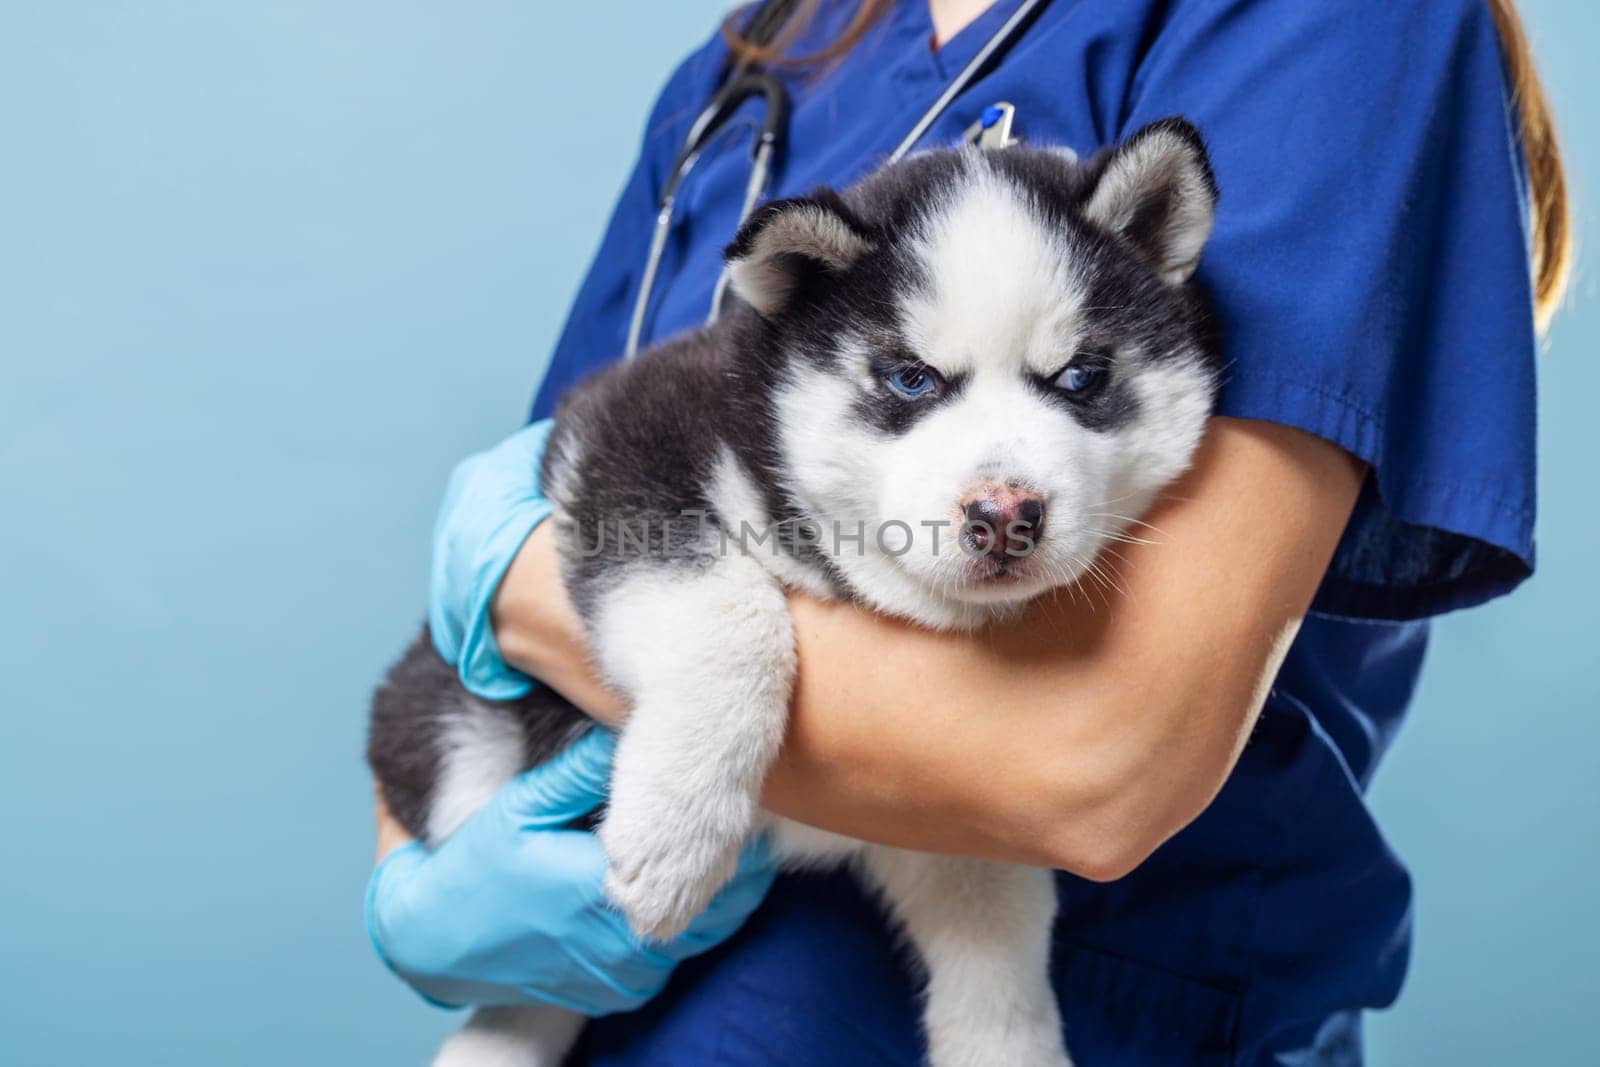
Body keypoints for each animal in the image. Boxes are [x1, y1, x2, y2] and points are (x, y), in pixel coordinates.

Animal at [371, 119, 1222, 1067]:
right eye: (911, 378)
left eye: (1080, 376)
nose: (1005, 516)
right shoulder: (624, 432)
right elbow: (729, 616)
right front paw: (675, 826)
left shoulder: (954, 824)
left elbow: (997, 945)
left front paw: (1008, 1044)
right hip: (449, 721)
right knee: (504, 951)